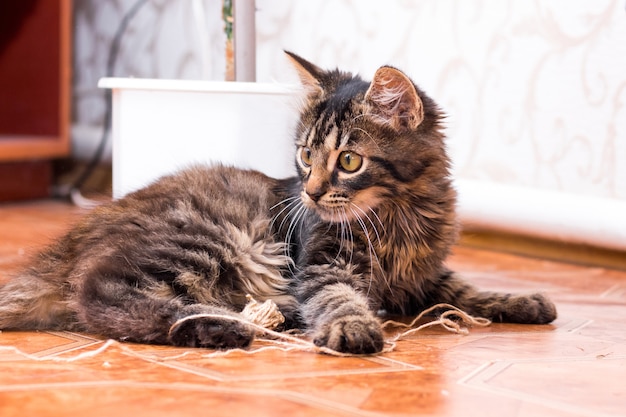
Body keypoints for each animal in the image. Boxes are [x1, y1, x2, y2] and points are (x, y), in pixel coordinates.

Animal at [0, 51, 556, 352]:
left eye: (348, 160)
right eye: (306, 156)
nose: (310, 192)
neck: (400, 214)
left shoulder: (422, 276)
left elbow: (465, 290)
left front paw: (520, 300)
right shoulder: (322, 264)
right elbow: (338, 297)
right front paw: (353, 326)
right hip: (212, 239)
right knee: (102, 296)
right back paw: (226, 325)